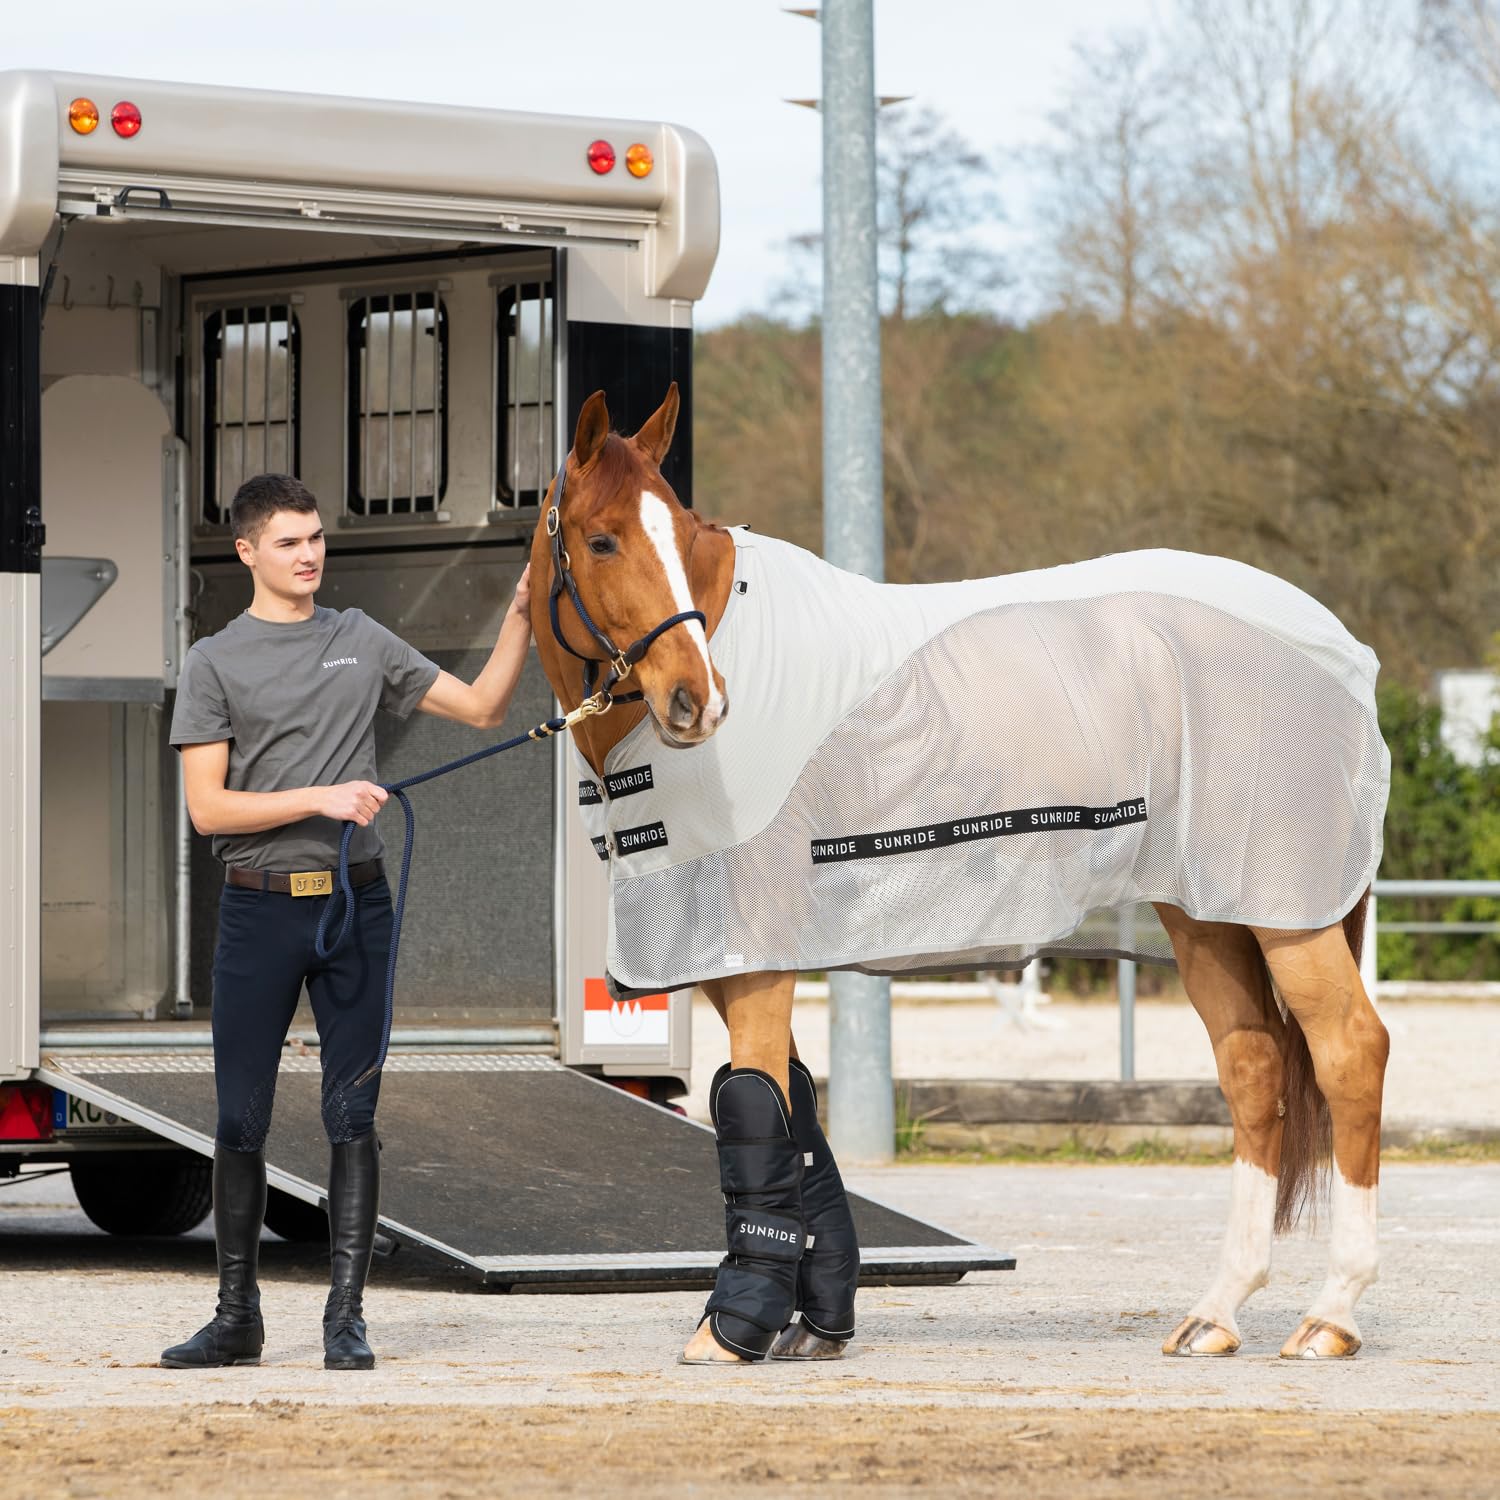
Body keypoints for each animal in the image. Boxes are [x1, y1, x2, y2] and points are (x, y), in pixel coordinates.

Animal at [529, 384, 1391, 1367]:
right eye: (603, 540)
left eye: (679, 531)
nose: (696, 700)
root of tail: (1339, 648)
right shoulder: (724, 953)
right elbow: (795, 1115)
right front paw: (817, 1319)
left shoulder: (755, 952)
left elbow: (754, 1106)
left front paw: (736, 1325)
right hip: (1207, 911)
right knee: (1253, 1069)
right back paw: (1219, 1311)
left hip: (1288, 910)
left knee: (1349, 1054)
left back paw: (1332, 1314)